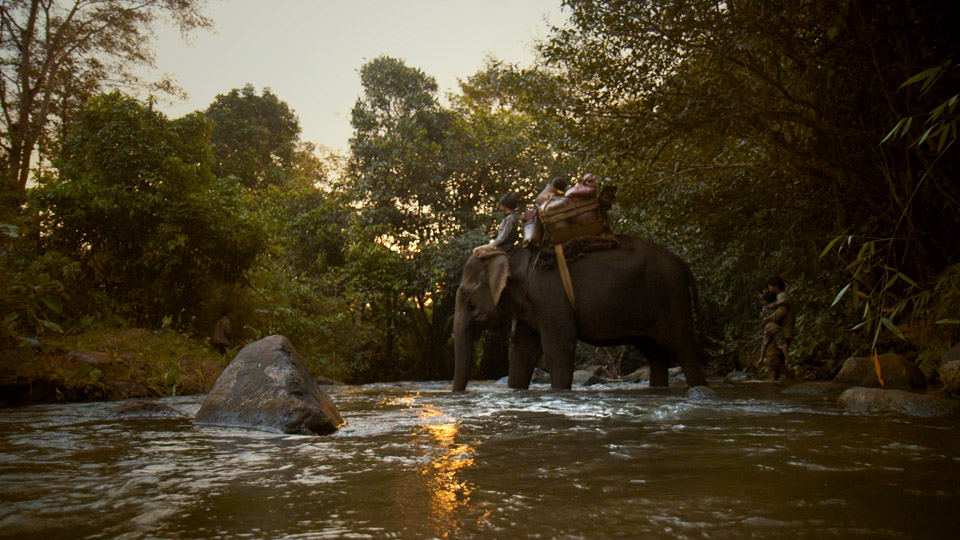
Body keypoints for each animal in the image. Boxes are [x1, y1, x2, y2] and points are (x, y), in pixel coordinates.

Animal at [454, 234, 708, 390]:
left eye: (466, 295)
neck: (513, 256)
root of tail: (681, 263)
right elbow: (522, 351)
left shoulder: (549, 295)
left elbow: (559, 344)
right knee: (655, 354)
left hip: (672, 299)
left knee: (683, 347)